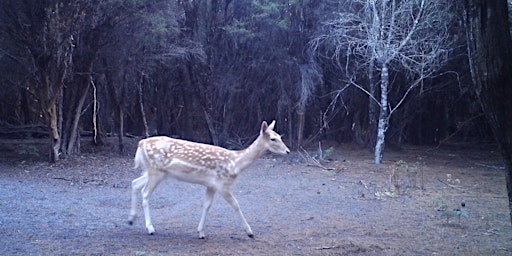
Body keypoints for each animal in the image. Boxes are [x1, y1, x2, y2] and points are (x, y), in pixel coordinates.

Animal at [126, 120, 290, 238]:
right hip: (156, 171)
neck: (235, 164)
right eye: (273, 139)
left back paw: (131, 219)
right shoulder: (223, 184)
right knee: (145, 193)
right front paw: (249, 232)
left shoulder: (211, 185)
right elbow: (236, 205)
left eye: (280, 136)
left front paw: (200, 232)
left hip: (153, 171)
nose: (287, 151)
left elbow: (206, 205)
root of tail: (140, 143)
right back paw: (150, 228)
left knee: (134, 183)